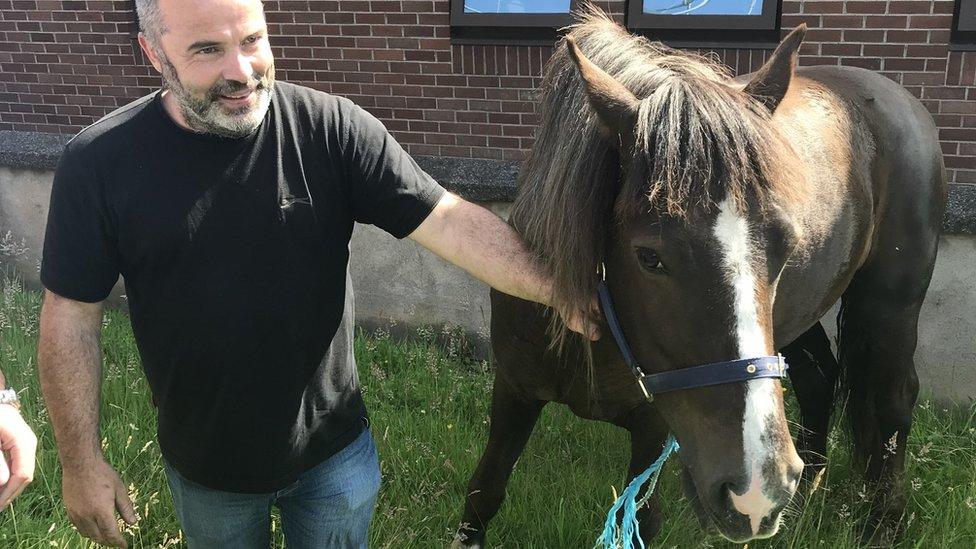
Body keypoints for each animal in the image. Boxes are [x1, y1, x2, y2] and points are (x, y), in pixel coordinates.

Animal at [454, 8, 948, 548]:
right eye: (649, 257)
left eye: (786, 244)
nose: (758, 493)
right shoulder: (515, 392)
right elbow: (484, 492)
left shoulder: (653, 429)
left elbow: (642, 519)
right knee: (820, 377)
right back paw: (807, 495)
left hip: (890, 306)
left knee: (893, 401)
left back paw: (881, 524)